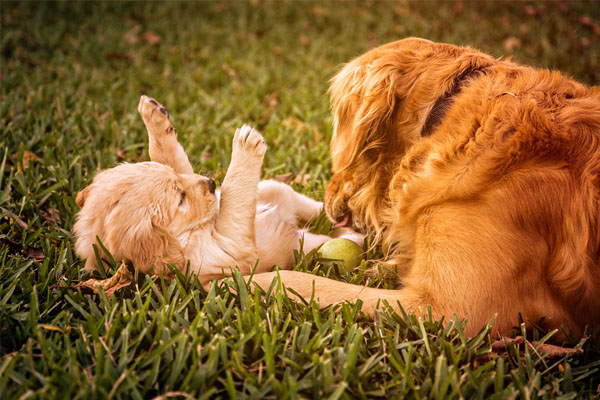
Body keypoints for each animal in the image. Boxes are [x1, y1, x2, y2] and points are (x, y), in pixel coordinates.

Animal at [74, 96, 356, 282]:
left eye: (178, 181)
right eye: (180, 199)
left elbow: (170, 156)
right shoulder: (227, 253)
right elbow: (231, 202)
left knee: (312, 207)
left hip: (273, 188)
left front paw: (154, 117)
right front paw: (245, 145)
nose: (210, 183)